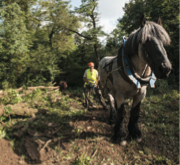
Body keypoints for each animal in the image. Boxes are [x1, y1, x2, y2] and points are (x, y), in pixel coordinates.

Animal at [98, 14, 172, 145]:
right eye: (146, 41)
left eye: (163, 41)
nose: (165, 69)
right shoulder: (120, 94)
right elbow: (121, 113)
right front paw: (120, 135)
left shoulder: (141, 93)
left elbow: (135, 113)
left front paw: (135, 133)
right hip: (106, 88)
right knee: (111, 101)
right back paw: (112, 118)